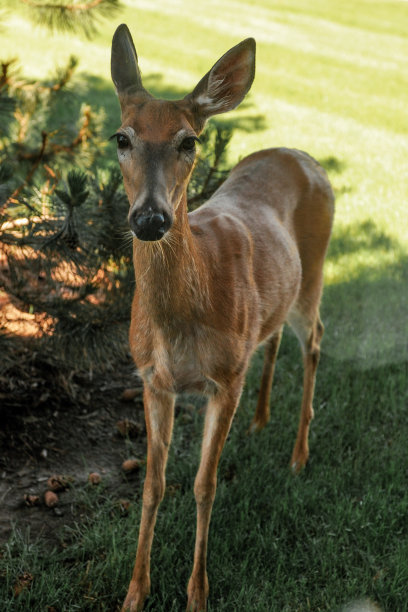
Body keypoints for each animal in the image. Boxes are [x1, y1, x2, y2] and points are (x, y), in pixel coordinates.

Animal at [109, 25, 334, 612]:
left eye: (189, 141)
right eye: (122, 138)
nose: (150, 218)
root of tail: (302, 153)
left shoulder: (225, 378)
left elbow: (204, 485)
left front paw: (197, 593)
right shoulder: (152, 378)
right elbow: (153, 484)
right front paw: (135, 592)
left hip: (314, 273)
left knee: (315, 339)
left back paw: (299, 455)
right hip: (276, 296)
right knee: (272, 337)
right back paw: (260, 421)